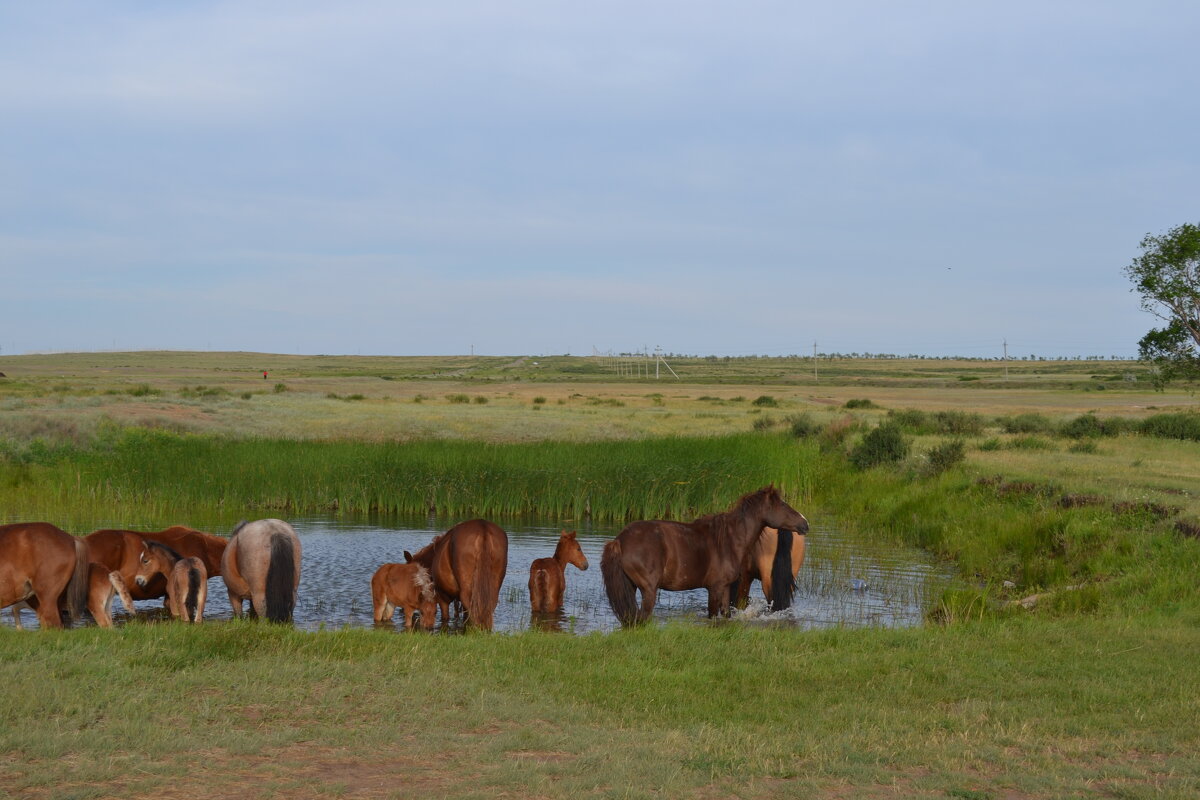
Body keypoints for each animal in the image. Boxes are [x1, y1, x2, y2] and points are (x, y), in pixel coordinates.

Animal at [597, 484, 806, 628]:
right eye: (782, 505)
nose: (805, 523)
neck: (729, 539)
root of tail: (620, 541)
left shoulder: (725, 588)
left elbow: (725, 614)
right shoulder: (715, 588)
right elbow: (713, 616)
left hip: (630, 587)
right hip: (648, 590)